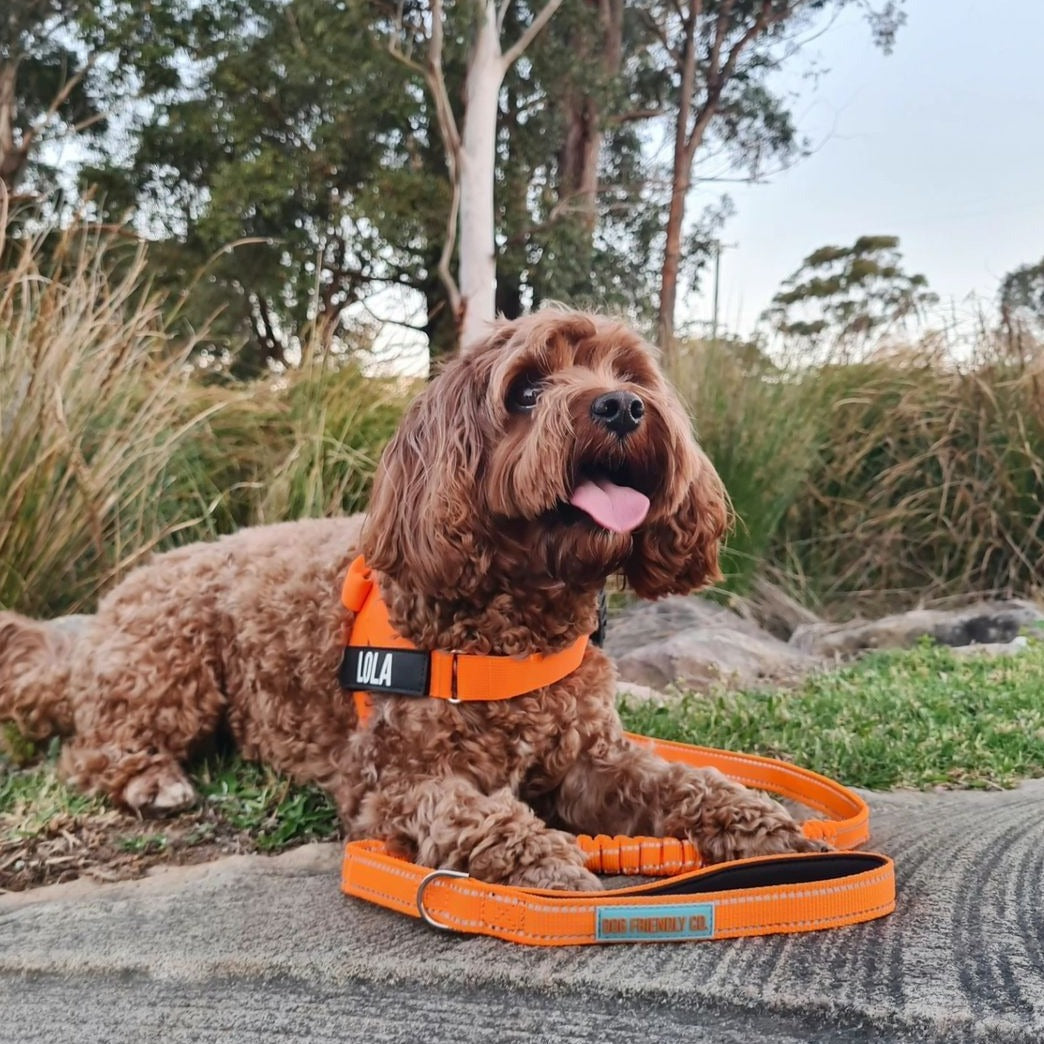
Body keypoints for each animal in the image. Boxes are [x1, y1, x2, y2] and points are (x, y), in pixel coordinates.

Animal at [0, 306, 818, 889]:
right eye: (527, 390)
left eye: (630, 372)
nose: (621, 407)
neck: (513, 620)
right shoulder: (389, 780)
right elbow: (464, 809)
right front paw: (536, 855)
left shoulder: (593, 759)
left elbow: (677, 780)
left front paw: (754, 817)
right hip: (170, 665)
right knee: (90, 751)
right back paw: (154, 781)